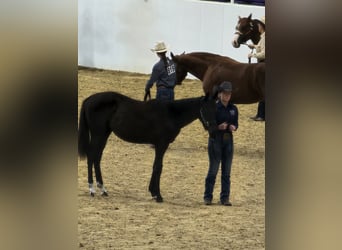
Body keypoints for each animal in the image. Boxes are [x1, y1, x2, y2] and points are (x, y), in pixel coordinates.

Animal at [79, 91, 215, 202]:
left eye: (215, 108)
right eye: (205, 108)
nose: (213, 130)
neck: (170, 114)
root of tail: (89, 99)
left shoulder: (160, 145)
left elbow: (156, 166)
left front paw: (153, 193)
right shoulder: (161, 144)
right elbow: (158, 167)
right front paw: (158, 195)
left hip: (104, 134)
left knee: (97, 158)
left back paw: (103, 189)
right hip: (98, 134)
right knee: (91, 156)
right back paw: (92, 189)